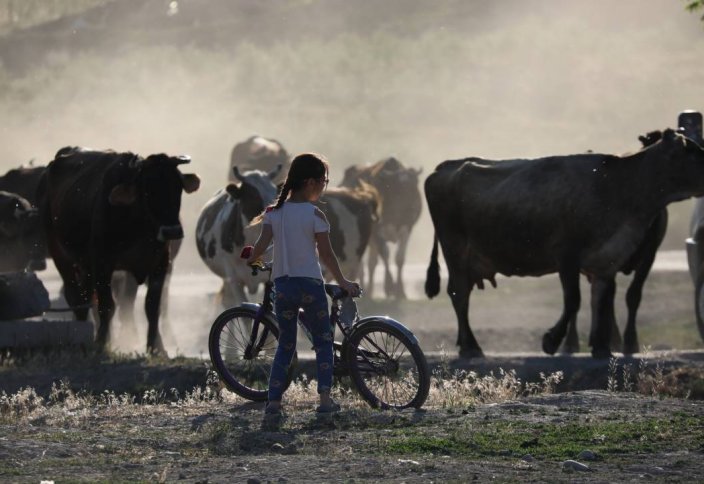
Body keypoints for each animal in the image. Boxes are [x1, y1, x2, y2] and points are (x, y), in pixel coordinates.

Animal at [39, 146, 201, 354]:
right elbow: (107, 305)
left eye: (177, 187)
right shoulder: (103, 263)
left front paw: (156, 347)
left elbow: (152, 306)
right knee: (77, 299)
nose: (172, 230)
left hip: (86, 267)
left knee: (87, 298)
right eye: (148, 190)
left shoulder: (160, 264)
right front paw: (101, 342)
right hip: (61, 256)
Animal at [342, 157, 424, 298]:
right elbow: (385, 253)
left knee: (371, 263)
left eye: (414, 186)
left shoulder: (407, 227)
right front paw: (389, 286)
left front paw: (400, 291)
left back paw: (369, 290)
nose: (412, 209)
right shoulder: (376, 230)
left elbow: (399, 258)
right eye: (399, 188)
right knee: (365, 264)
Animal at [426, 129, 704, 360]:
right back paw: (471, 347)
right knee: (459, 293)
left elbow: (600, 300)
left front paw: (601, 348)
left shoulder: (606, 260)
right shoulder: (567, 255)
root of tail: (446, 166)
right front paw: (552, 341)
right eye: (692, 151)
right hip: (455, 248)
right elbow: (574, 300)